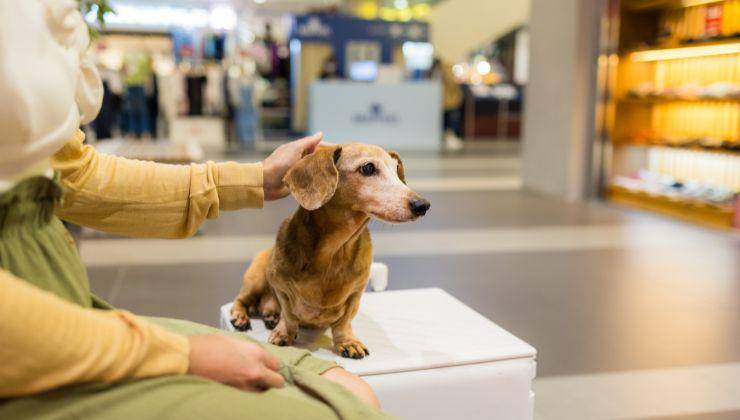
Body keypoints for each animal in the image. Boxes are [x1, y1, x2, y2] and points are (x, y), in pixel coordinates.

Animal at [230, 144, 428, 358]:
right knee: (240, 300)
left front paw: (347, 341)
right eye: (368, 168)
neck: (334, 252)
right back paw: (242, 317)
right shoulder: (280, 287)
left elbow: (344, 322)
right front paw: (284, 333)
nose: (423, 205)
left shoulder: (355, 294)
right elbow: (289, 314)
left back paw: (271, 315)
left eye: (396, 168)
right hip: (256, 279)